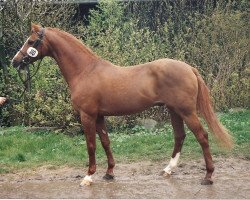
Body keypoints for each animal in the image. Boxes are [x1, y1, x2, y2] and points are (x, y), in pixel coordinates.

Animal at [11, 23, 232, 186]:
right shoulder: (99, 116)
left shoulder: (87, 115)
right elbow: (105, 142)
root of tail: (189, 68)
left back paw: (208, 176)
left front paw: (88, 176)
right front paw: (109, 173)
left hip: (186, 111)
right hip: (174, 111)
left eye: (31, 41)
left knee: (202, 137)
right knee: (180, 136)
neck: (85, 71)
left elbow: (91, 145)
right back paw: (168, 170)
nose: (15, 61)